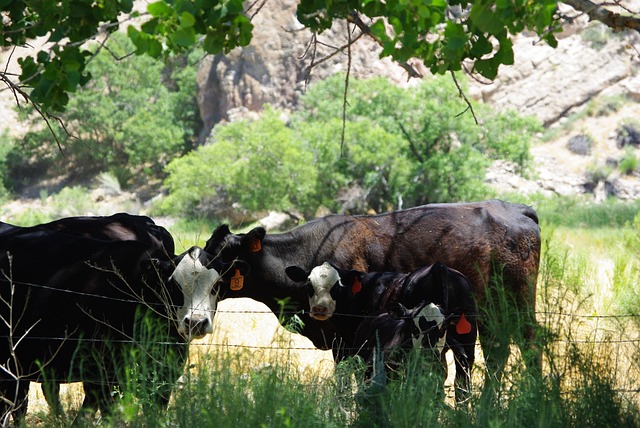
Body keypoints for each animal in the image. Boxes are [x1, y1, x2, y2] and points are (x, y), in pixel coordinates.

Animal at [288, 260, 478, 402]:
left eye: (337, 286)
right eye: (309, 284)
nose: (320, 309)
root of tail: (439, 267)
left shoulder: (347, 346)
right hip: (467, 347)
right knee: (462, 386)